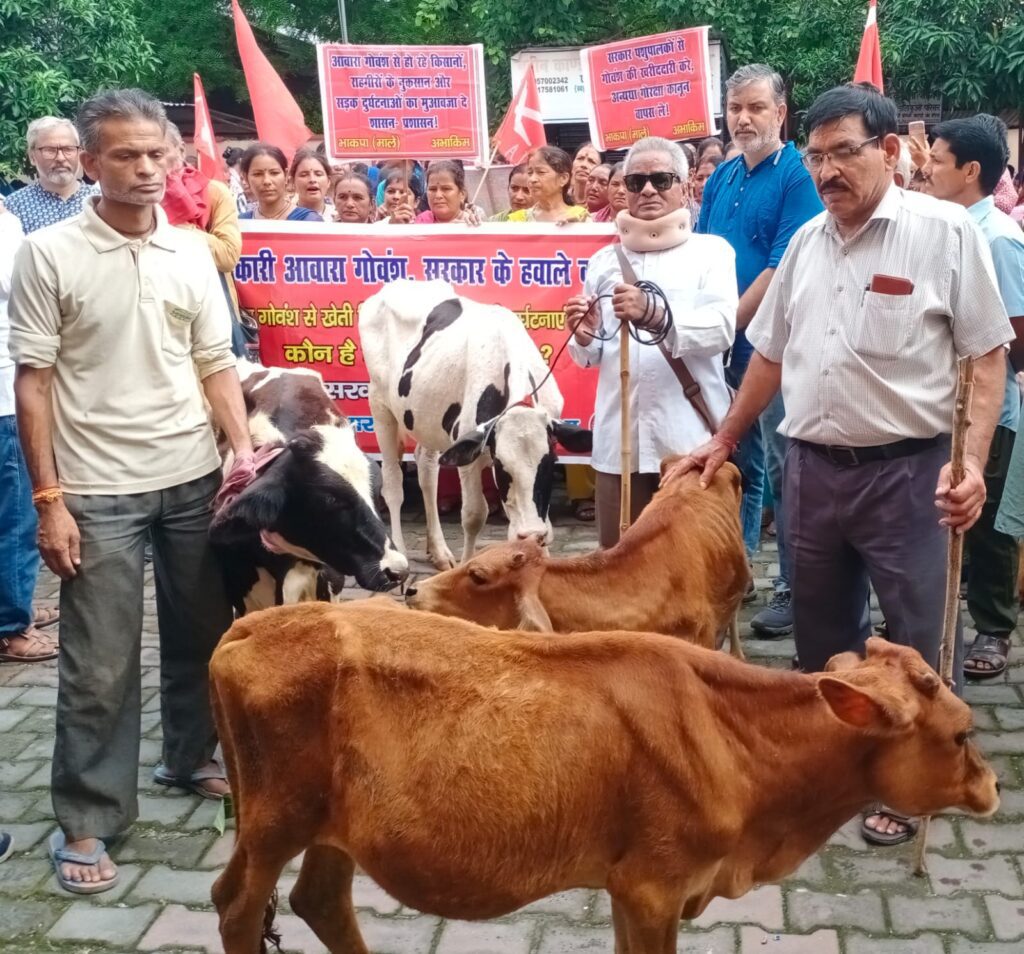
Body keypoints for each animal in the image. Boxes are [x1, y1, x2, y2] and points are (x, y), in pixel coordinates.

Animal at [207, 601, 999, 953]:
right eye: (962, 733)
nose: (991, 786)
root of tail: (254, 623)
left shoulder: (630, 885)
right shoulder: (653, 885)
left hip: (330, 826)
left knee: (318, 899)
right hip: (275, 819)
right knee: (238, 905)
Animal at [360, 280, 593, 569]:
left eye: (551, 463)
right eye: (502, 467)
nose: (530, 533)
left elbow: (543, 515)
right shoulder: (469, 455)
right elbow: (473, 516)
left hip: (427, 418)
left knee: (427, 471)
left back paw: (439, 551)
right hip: (380, 405)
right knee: (393, 483)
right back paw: (401, 551)